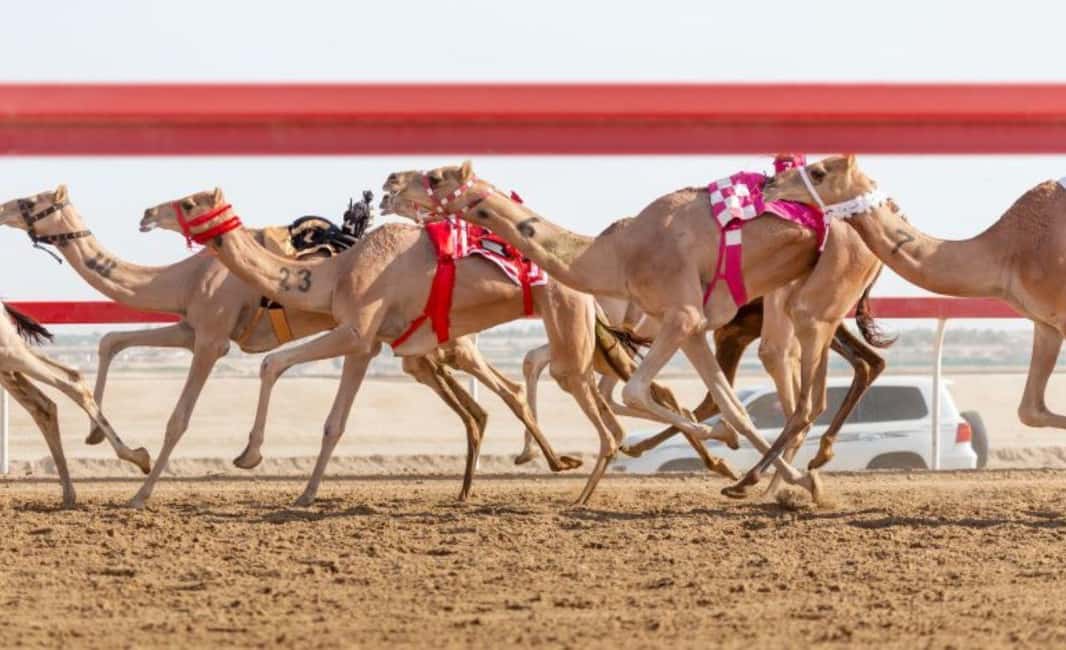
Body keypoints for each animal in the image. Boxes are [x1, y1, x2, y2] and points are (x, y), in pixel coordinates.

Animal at [0, 302, 150, 507]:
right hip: (8, 360)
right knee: (45, 403)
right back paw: (69, 494)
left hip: (8, 352)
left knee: (70, 385)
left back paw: (138, 458)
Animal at [142, 187, 724, 506]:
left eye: (187, 201)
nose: (147, 213)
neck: (339, 271)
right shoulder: (376, 342)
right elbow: (316, 402)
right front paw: (291, 481)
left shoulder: (358, 332)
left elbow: (281, 372)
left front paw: (255, 459)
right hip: (586, 332)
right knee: (619, 400)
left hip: (570, 332)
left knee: (604, 414)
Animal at [383, 159, 883, 500]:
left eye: (435, 176)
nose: (388, 184)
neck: (616, 254)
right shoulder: (691, 326)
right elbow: (731, 405)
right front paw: (741, 450)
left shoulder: (680, 315)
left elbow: (636, 391)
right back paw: (776, 478)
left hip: (819, 295)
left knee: (807, 386)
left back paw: (779, 478)